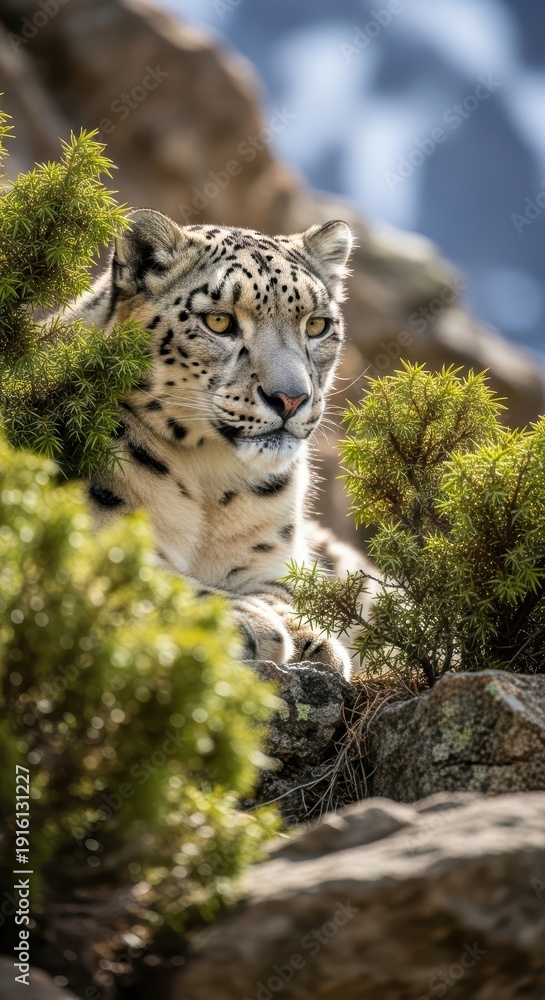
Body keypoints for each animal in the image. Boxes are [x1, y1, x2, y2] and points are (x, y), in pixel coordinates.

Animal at [69, 208, 373, 680]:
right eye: (218, 321)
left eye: (316, 325)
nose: (291, 398)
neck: (211, 480)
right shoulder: (92, 524)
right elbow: (143, 573)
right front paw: (245, 621)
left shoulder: (275, 559)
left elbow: (284, 592)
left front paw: (309, 637)